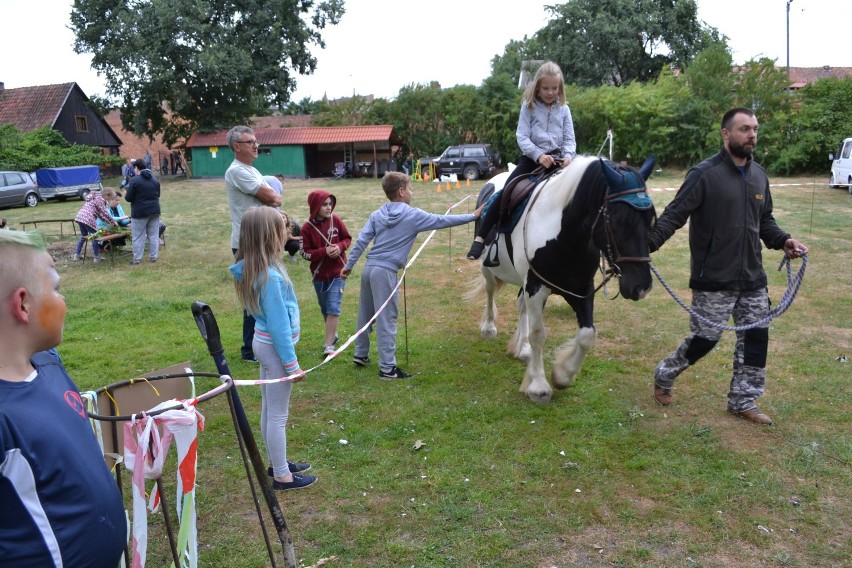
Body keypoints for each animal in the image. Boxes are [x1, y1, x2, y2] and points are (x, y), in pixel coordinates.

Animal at [470, 154, 656, 404]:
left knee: (521, 307)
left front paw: (562, 375)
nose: (641, 287)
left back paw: (523, 349)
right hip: (488, 269)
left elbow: (587, 335)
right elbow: (538, 333)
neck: (563, 233)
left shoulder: (580, 288)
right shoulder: (536, 287)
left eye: (651, 219)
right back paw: (489, 328)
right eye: (617, 220)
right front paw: (538, 386)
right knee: (490, 292)